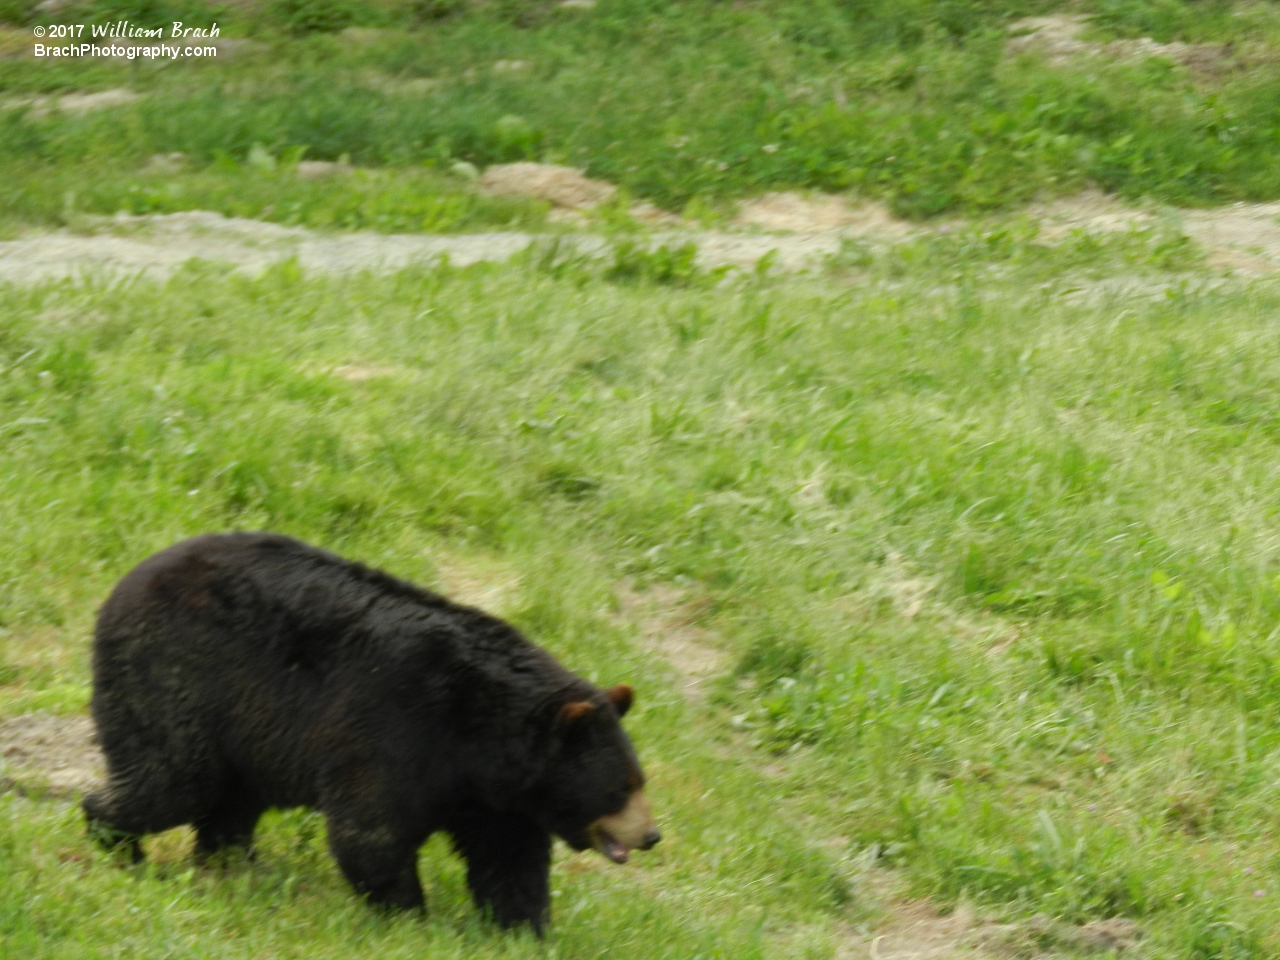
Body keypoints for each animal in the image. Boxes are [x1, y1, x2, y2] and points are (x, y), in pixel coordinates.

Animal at [82, 535, 660, 931]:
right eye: (618, 788)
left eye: (639, 781)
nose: (650, 836)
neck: (483, 738)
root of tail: (128, 580)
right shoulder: (399, 727)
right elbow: (372, 830)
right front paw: (410, 915)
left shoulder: (494, 796)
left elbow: (508, 854)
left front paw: (522, 926)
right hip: (178, 677)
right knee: (172, 780)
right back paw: (116, 839)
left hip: (244, 732)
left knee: (231, 801)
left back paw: (233, 865)